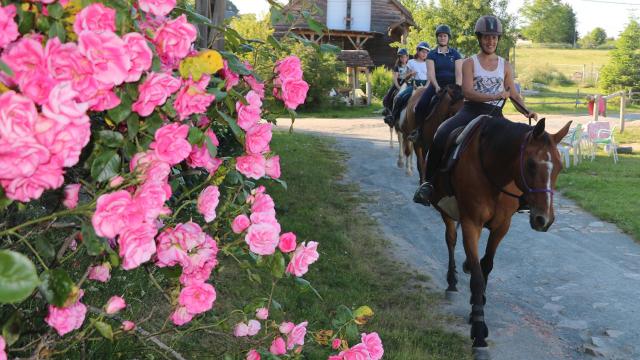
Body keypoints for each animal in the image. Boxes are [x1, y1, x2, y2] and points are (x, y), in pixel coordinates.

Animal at [430, 115, 576, 354]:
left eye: (560, 166)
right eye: (531, 164)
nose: (544, 219)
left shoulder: (502, 227)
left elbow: (486, 266)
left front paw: (476, 307)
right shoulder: (471, 223)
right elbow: (478, 277)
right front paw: (479, 332)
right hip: (446, 210)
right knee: (450, 239)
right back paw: (452, 282)